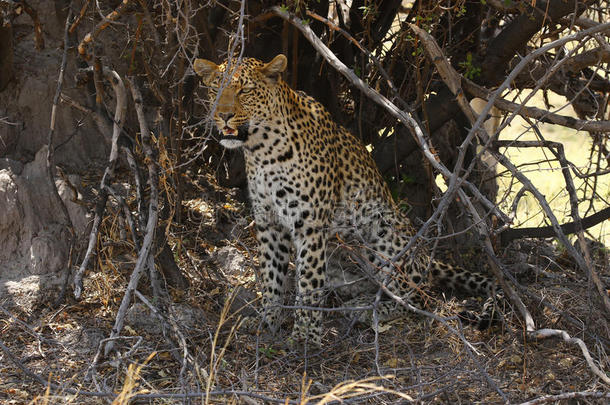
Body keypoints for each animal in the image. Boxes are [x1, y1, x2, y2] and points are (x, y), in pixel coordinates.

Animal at [195, 52, 498, 344]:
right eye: (215, 89)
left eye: (244, 90)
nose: (223, 115)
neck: (261, 149)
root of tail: (426, 257)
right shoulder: (269, 221)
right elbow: (271, 275)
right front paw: (267, 321)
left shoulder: (310, 224)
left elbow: (309, 282)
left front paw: (305, 337)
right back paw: (356, 302)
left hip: (383, 228)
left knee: (418, 296)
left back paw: (367, 310)